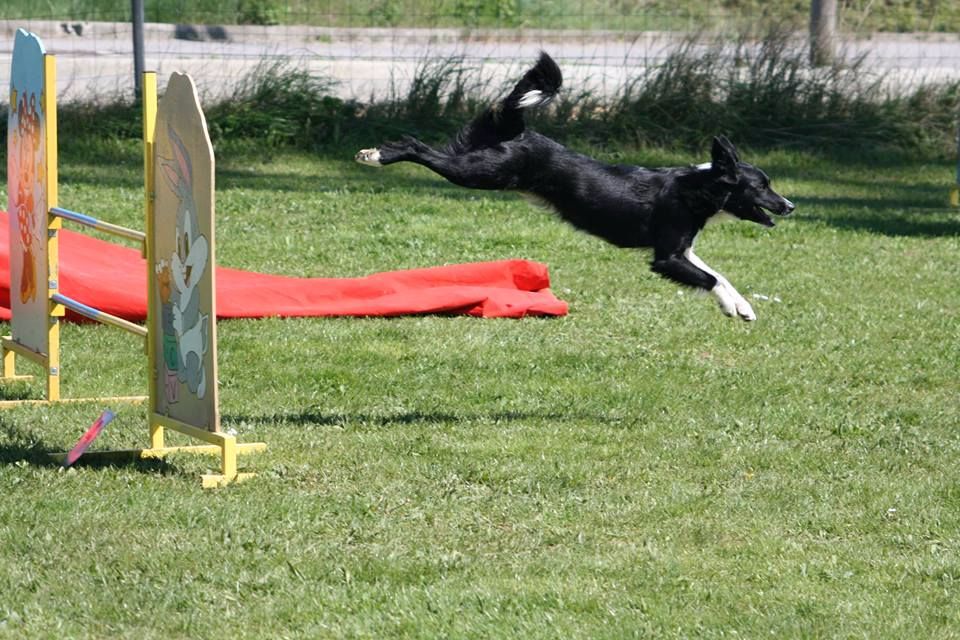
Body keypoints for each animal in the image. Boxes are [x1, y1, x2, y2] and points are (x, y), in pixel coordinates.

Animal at [358, 50, 796, 320]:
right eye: (761, 186)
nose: (790, 205)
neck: (698, 187)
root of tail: (519, 131)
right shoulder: (667, 257)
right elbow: (710, 278)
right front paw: (732, 307)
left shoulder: (682, 249)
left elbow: (719, 274)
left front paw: (742, 307)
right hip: (479, 174)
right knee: (418, 148)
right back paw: (375, 155)